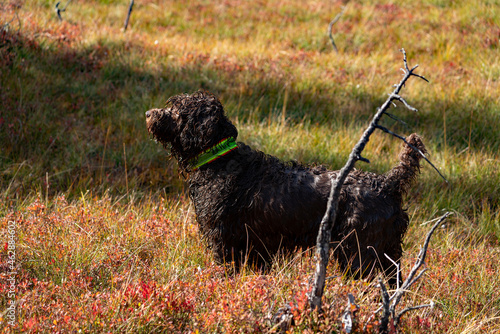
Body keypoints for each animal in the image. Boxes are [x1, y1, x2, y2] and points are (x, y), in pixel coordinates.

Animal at [146, 90, 426, 284]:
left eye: (177, 110)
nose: (149, 113)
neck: (221, 159)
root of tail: (388, 182)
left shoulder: (225, 241)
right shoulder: (257, 249)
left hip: (359, 253)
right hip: (389, 254)